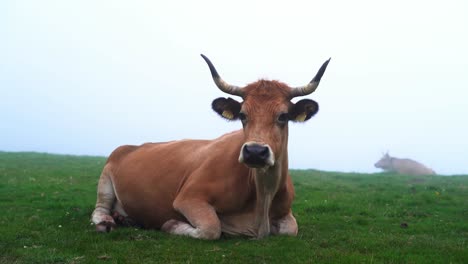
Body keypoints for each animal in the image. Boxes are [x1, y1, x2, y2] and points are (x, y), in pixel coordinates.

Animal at [91, 54, 330, 239]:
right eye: (243, 115)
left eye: (283, 116)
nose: (255, 152)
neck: (263, 196)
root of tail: (131, 146)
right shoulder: (189, 197)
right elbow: (211, 228)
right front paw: (171, 225)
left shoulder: (286, 213)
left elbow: (291, 229)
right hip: (105, 178)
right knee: (100, 207)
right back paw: (106, 222)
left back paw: (125, 218)